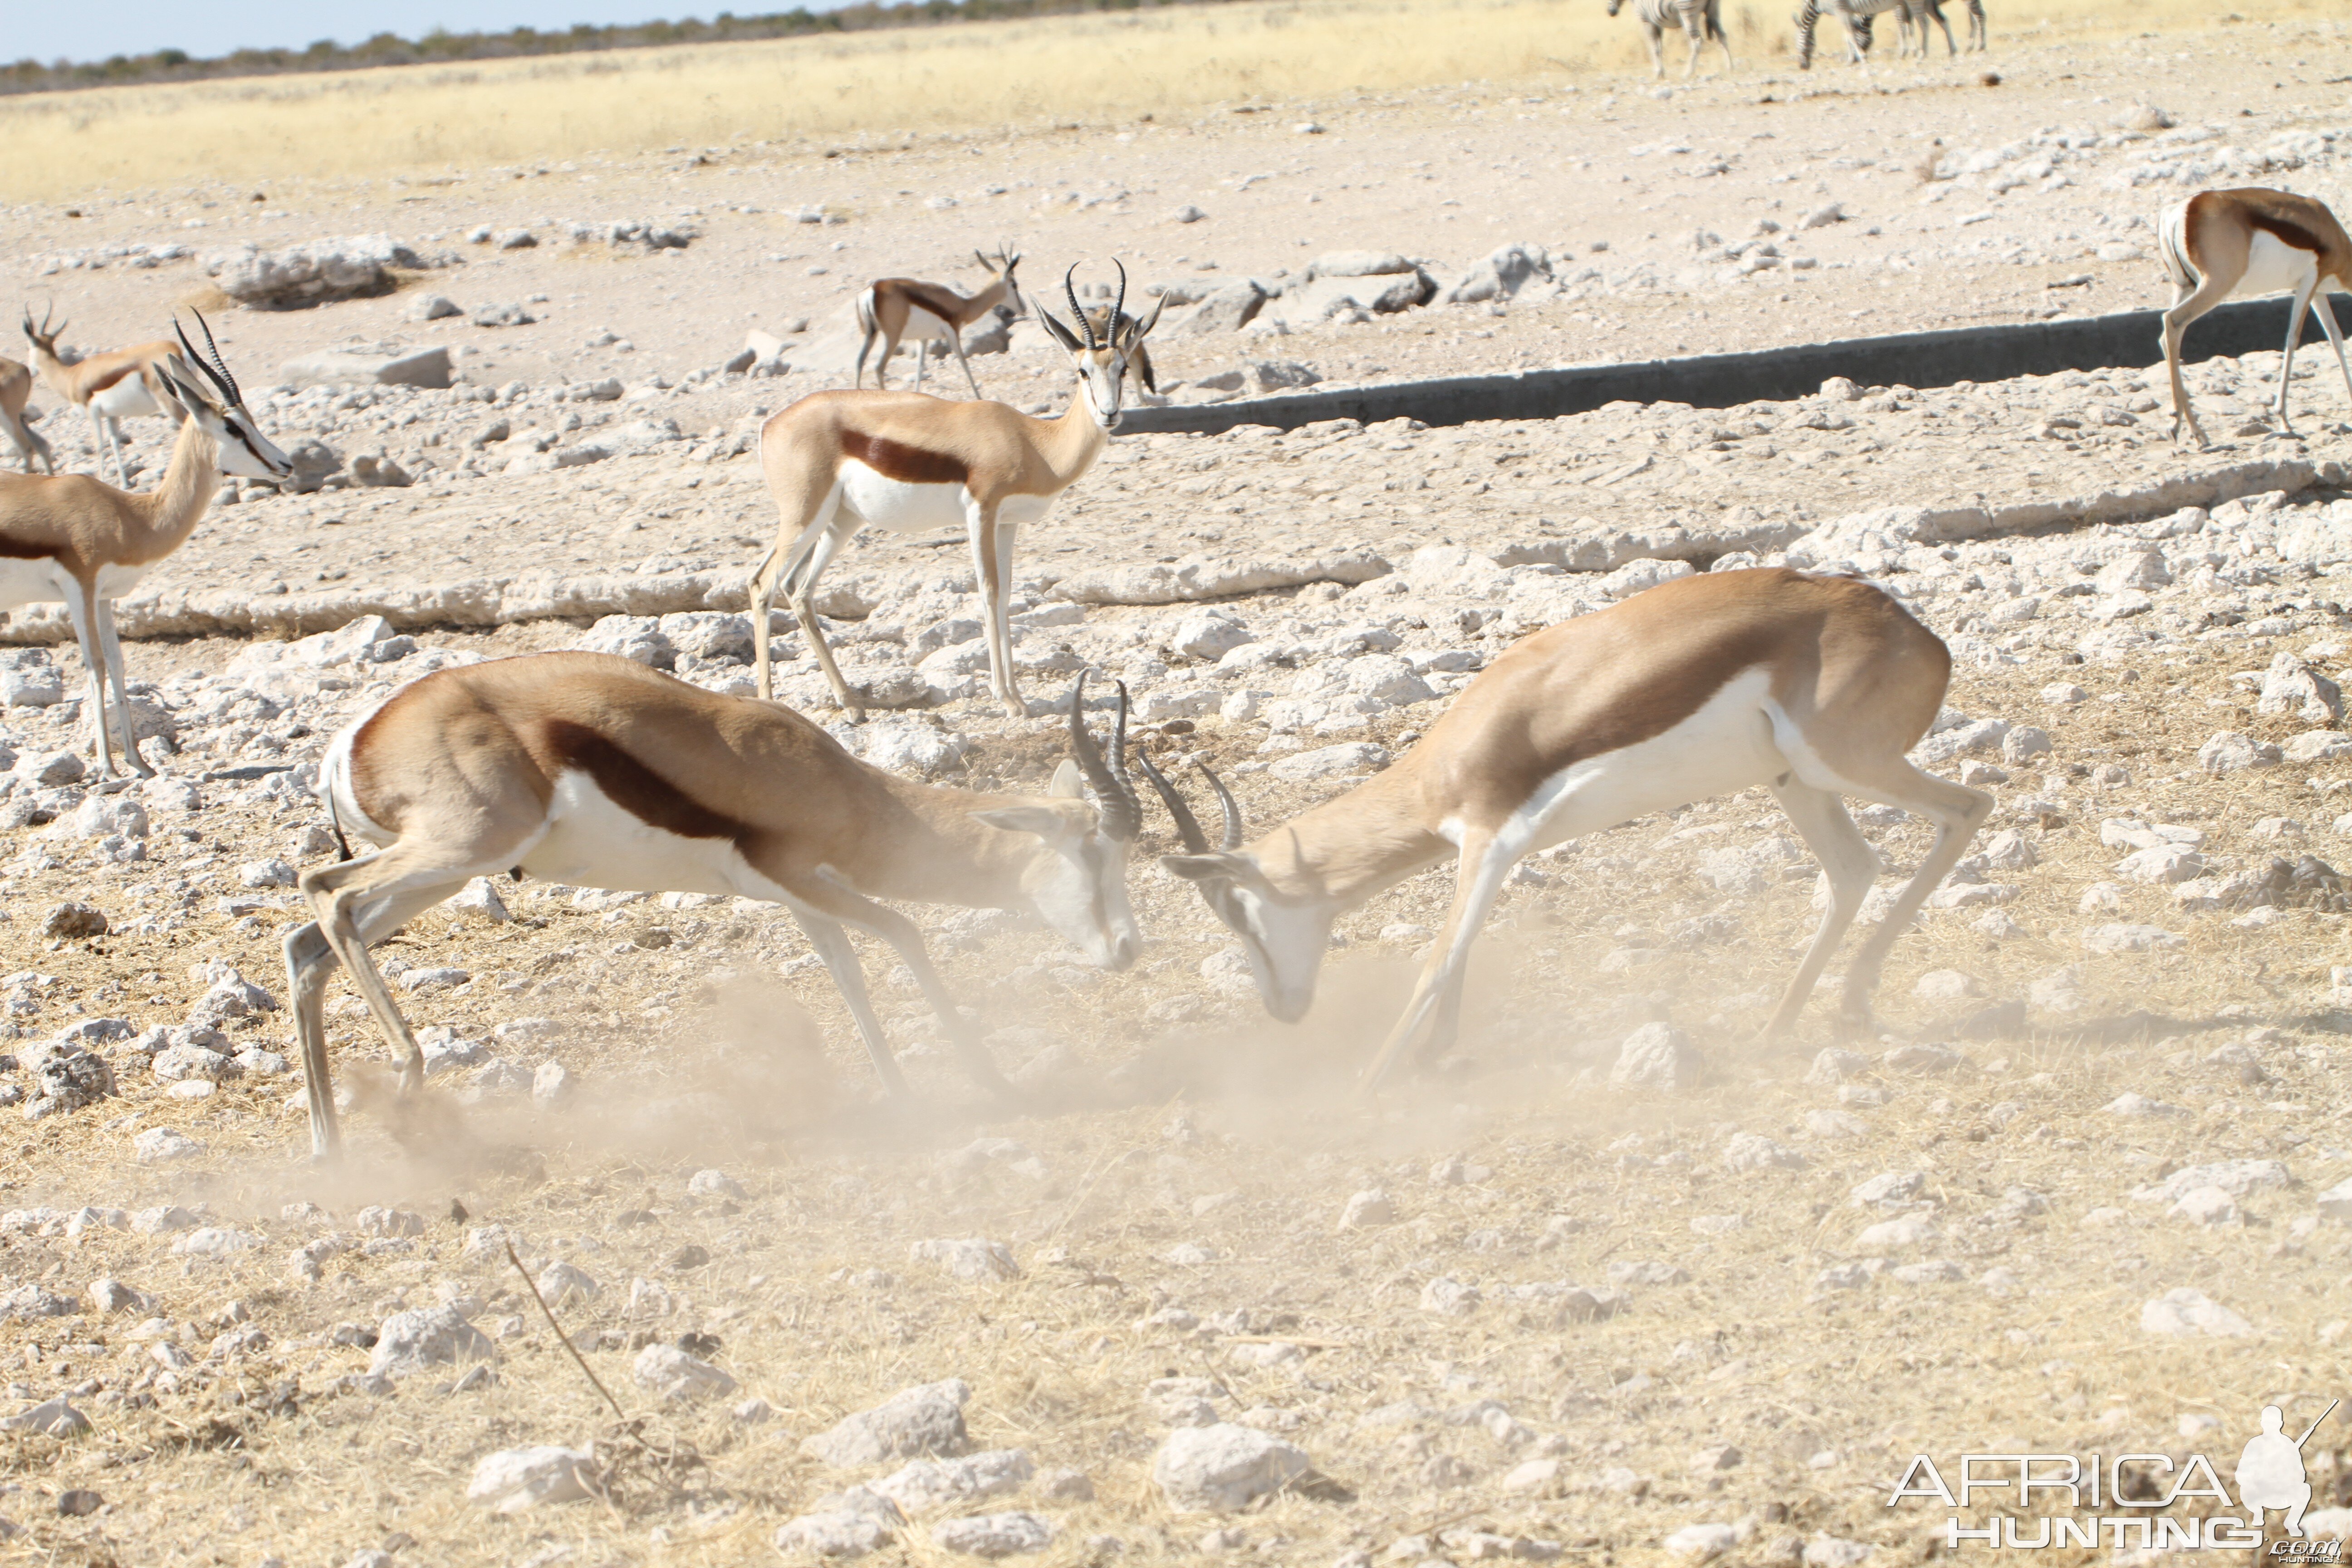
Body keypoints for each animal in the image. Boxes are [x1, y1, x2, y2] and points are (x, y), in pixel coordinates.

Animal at [1608, 0, 1740, 82]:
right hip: (1713, 11)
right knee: (1722, 36)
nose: (1611, 13)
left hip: (1687, 12)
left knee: (1697, 41)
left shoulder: (1646, 20)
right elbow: (1659, 47)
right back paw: (1730, 67)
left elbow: (1654, 48)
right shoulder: (1657, 23)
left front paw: (1657, 73)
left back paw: (1688, 73)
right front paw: (1661, 73)